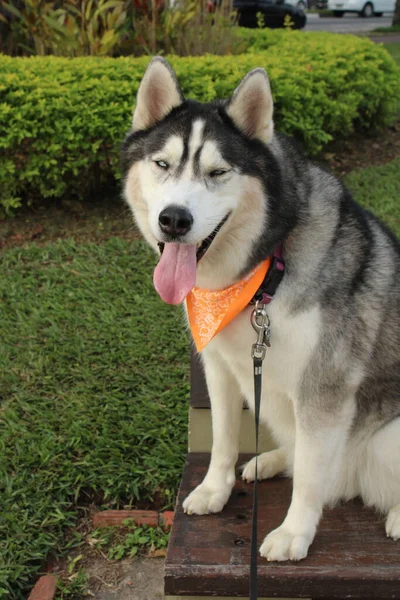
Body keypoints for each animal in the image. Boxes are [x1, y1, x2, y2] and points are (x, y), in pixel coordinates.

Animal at [122, 58, 400, 560]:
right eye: (162, 164)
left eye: (217, 172)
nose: (174, 220)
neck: (263, 272)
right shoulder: (219, 364)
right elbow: (223, 438)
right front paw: (215, 489)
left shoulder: (324, 389)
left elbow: (310, 477)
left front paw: (294, 533)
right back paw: (270, 460)